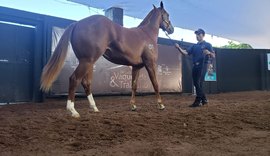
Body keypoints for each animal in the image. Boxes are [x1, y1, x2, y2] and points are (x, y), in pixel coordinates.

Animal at [41, 1, 174, 117]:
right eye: (167, 14)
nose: (171, 29)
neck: (146, 35)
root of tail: (78, 23)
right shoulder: (150, 64)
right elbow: (155, 83)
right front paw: (161, 105)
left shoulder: (136, 67)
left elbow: (134, 86)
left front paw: (133, 106)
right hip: (86, 61)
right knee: (74, 79)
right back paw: (72, 111)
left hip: (88, 62)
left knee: (86, 82)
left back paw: (94, 107)